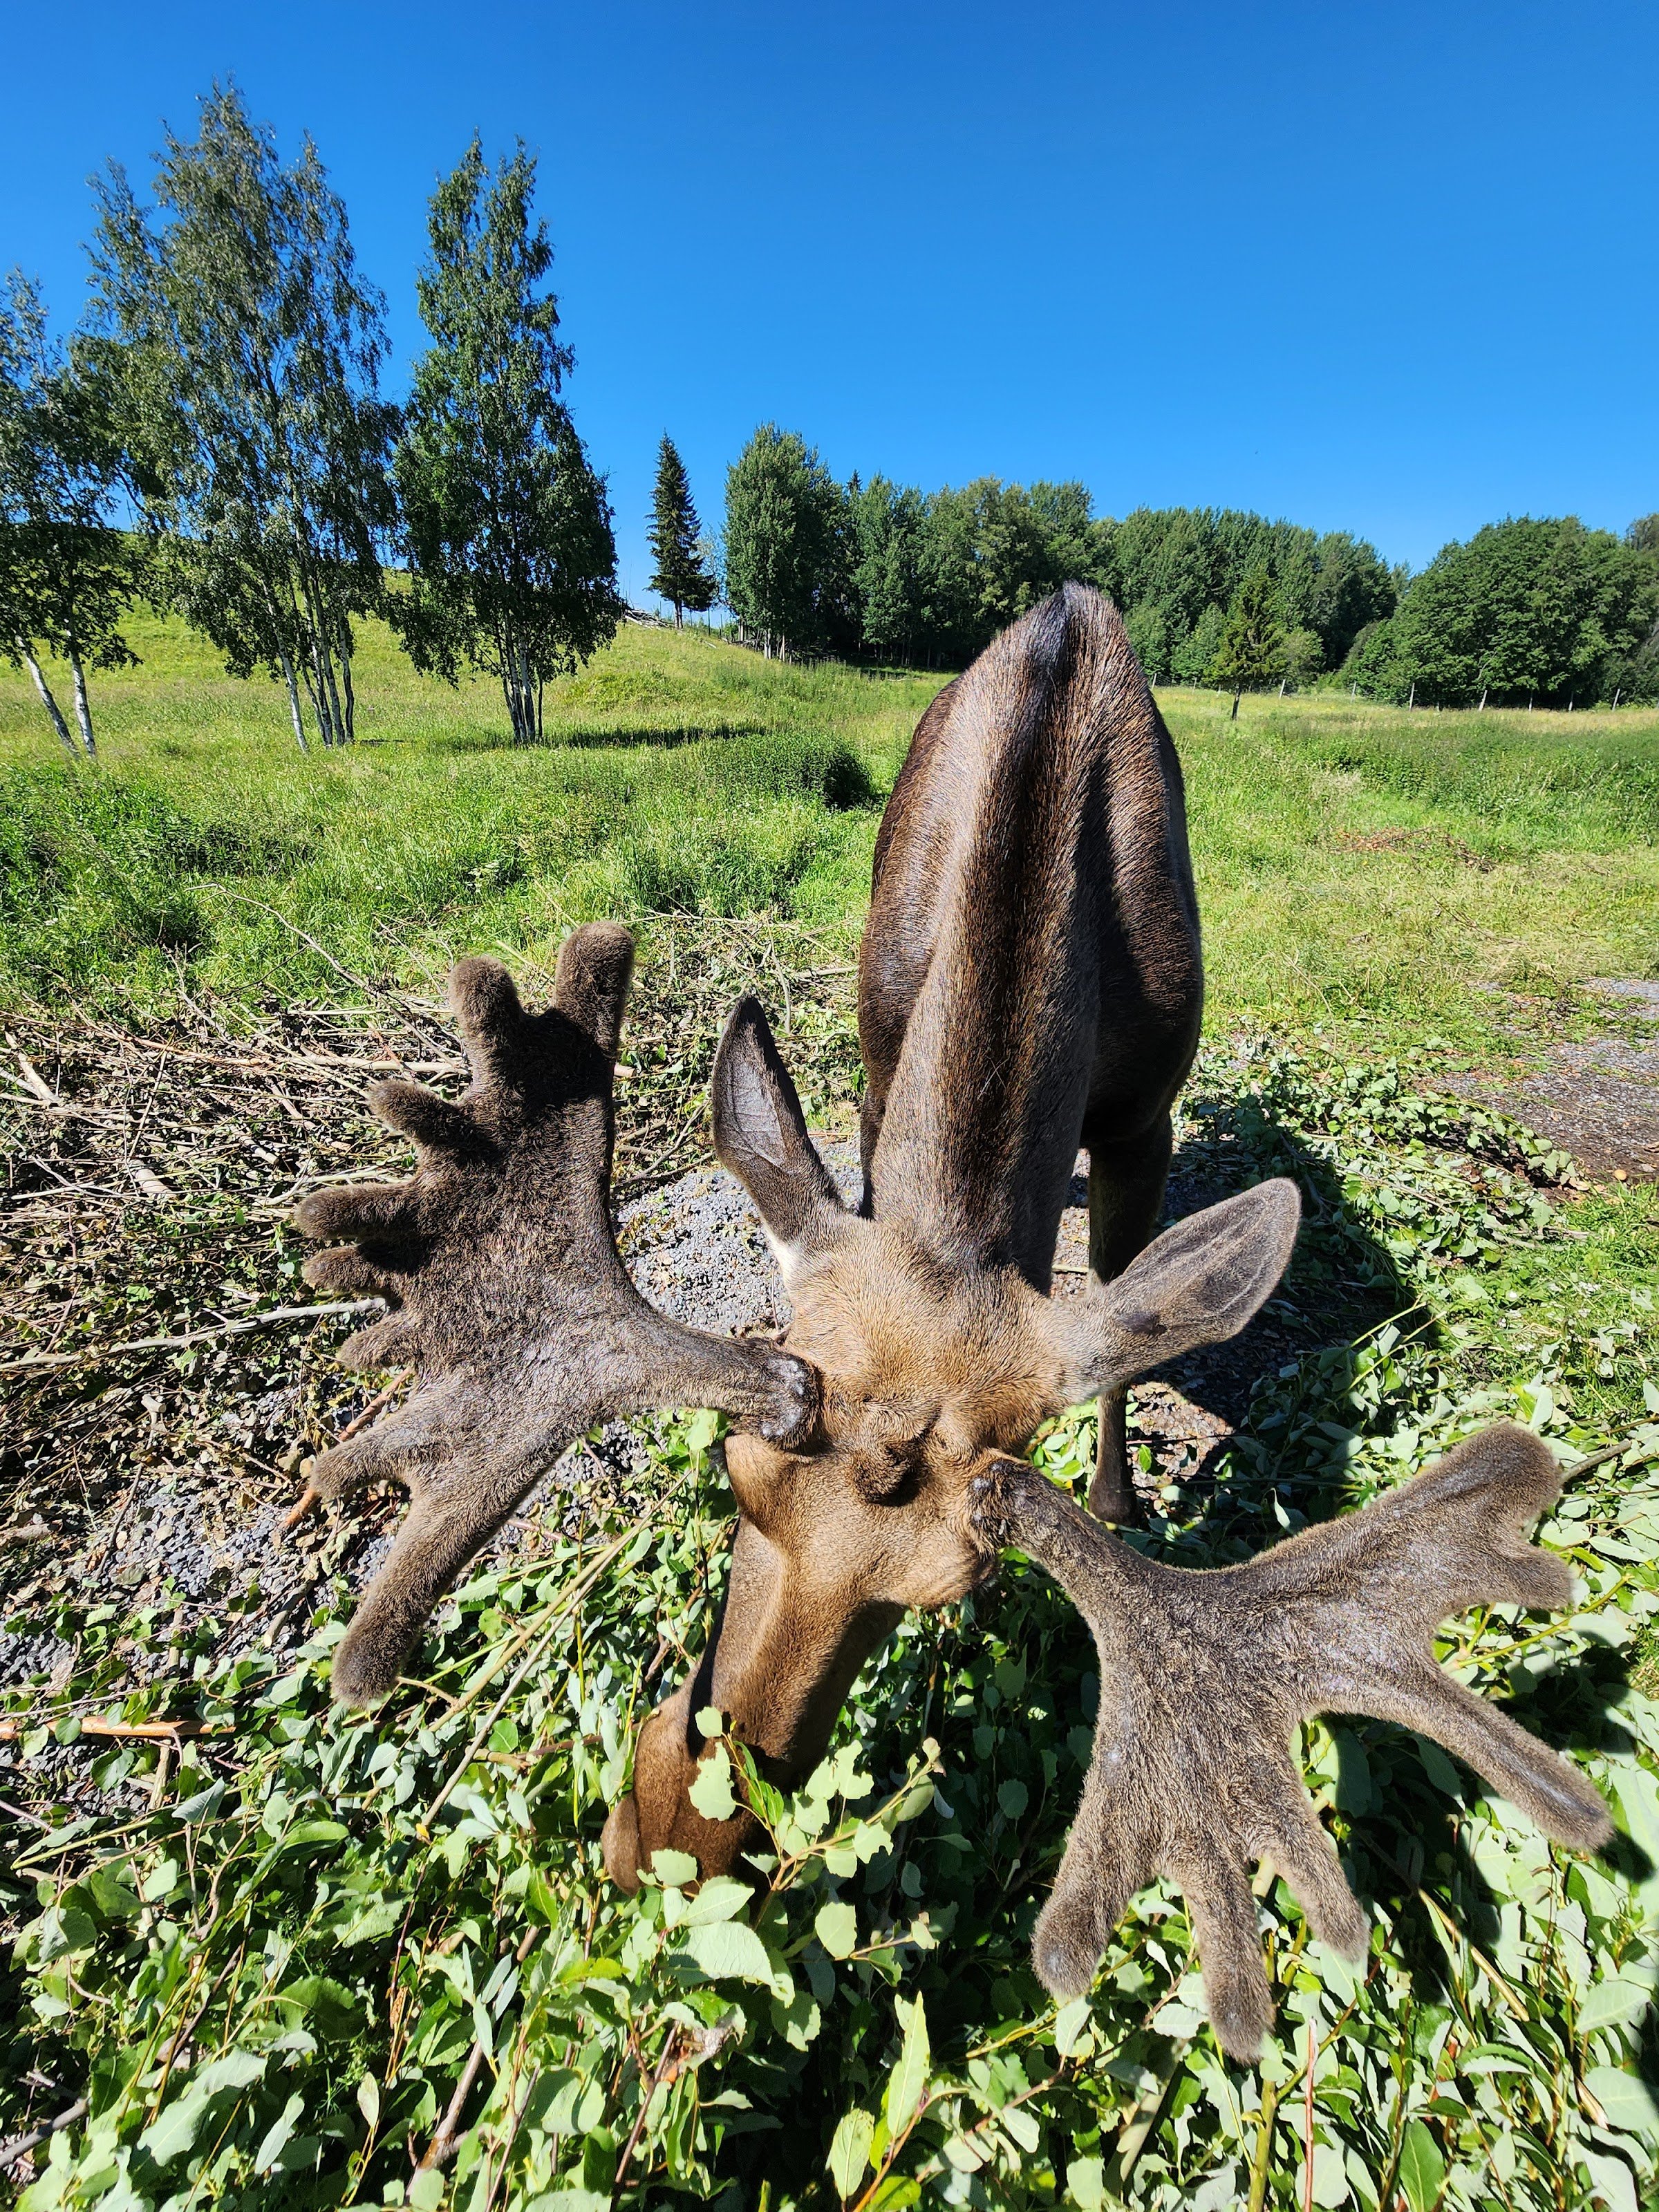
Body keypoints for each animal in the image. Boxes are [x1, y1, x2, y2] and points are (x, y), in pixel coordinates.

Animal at [293, 583, 1609, 2061]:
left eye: (947, 1597)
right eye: (734, 1480)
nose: (677, 1848)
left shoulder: (1147, 1113)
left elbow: (1126, 1308)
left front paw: (1125, 1501)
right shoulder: (877, 1070)